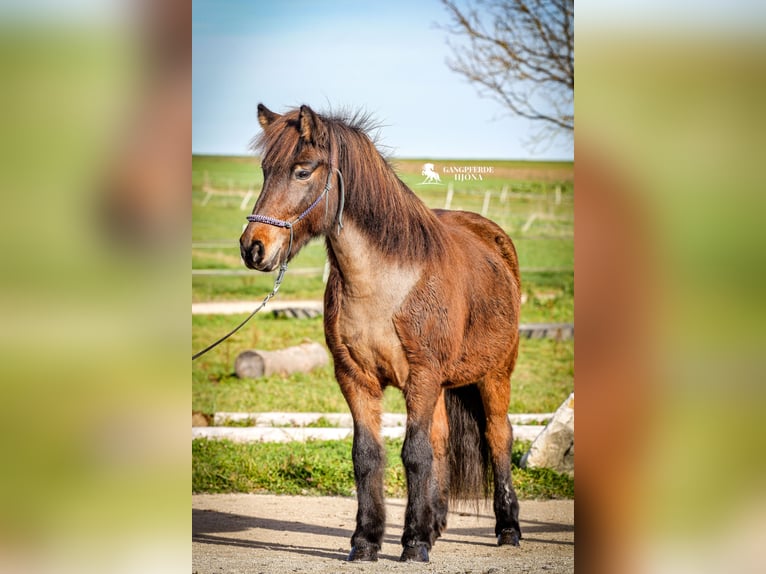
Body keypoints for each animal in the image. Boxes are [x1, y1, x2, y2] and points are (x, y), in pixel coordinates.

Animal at [240, 104, 522, 563]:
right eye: (265, 170)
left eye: (302, 171)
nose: (253, 247)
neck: (386, 284)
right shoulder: (356, 378)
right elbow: (368, 455)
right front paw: (367, 540)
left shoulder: (421, 377)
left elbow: (414, 453)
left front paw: (414, 543)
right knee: (442, 440)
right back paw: (436, 522)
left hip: (495, 374)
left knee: (498, 436)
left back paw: (508, 527)